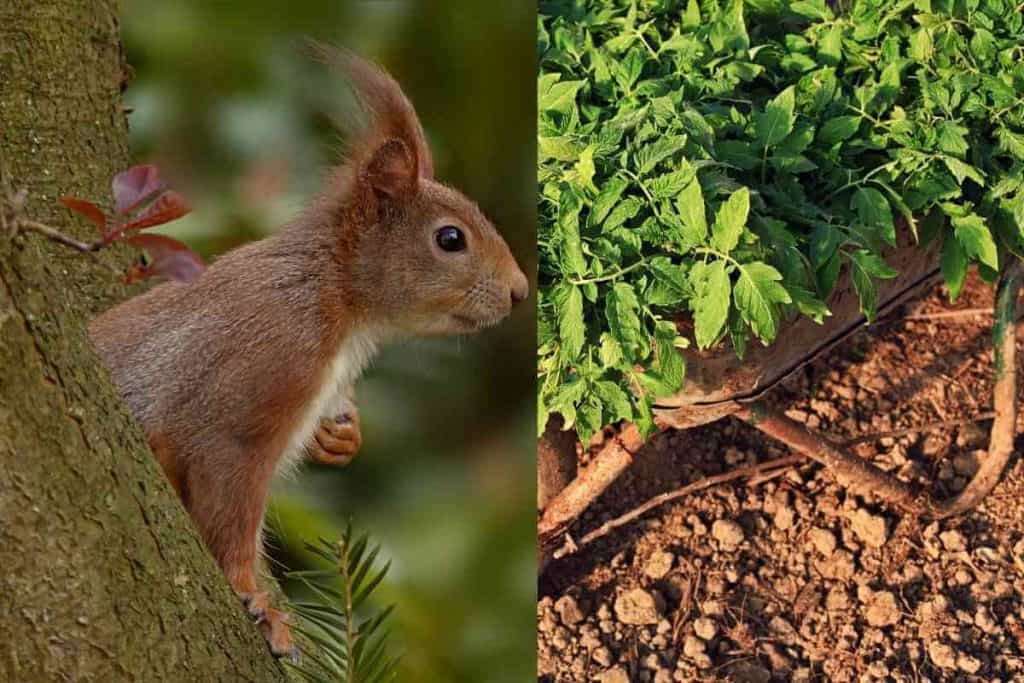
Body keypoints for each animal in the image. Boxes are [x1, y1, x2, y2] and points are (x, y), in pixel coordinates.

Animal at [90, 50, 528, 659]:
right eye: (450, 239)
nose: (519, 291)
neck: (334, 300)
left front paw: (342, 435)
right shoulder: (262, 375)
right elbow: (228, 500)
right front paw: (258, 602)